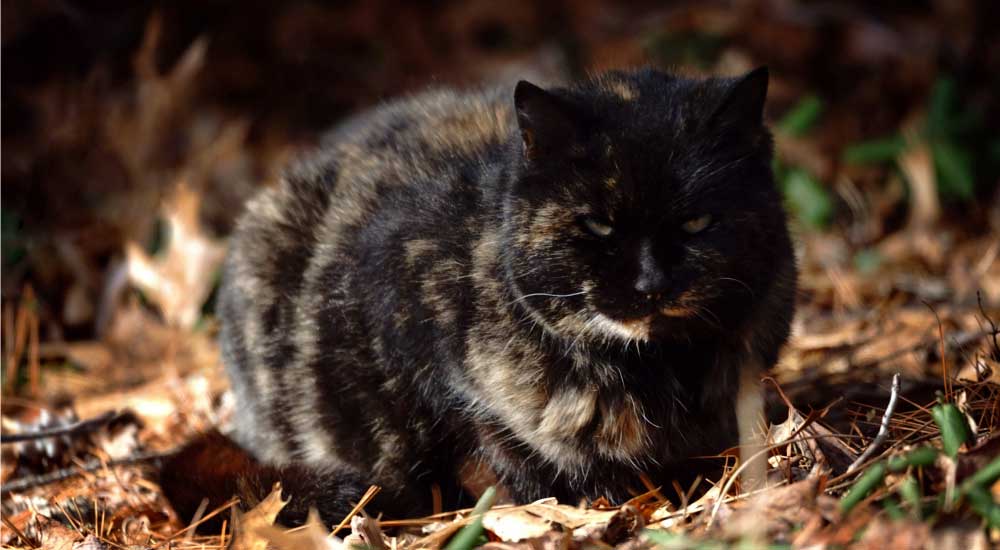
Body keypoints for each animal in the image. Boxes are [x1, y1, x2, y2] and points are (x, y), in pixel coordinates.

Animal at [162, 67, 796, 528]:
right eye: (597, 225)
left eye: (696, 223)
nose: (650, 284)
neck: (656, 374)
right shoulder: (420, 358)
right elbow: (501, 454)